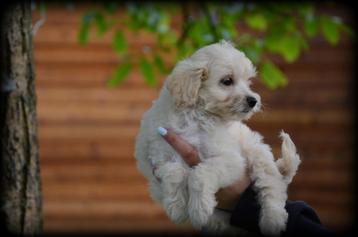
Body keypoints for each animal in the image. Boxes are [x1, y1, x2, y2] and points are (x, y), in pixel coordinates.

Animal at [134, 40, 300, 235]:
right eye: (227, 81)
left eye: (248, 82)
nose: (253, 100)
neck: (196, 116)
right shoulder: (160, 155)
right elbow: (174, 172)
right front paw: (177, 208)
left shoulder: (231, 160)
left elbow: (200, 174)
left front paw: (199, 209)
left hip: (258, 154)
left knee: (272, 187)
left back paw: (272, 220)